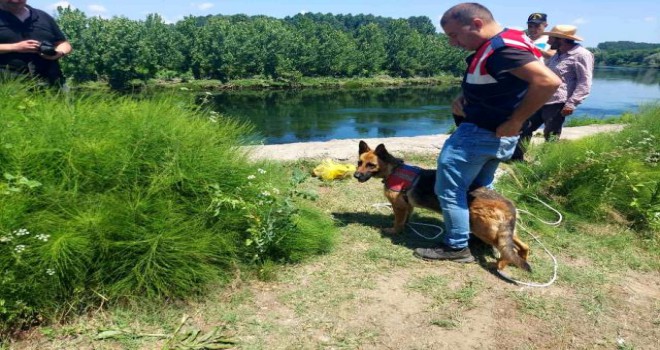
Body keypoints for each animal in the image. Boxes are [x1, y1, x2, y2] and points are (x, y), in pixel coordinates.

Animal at [350, 140, 532, 270]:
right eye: (359, 162)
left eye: (371, 165)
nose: (356, 175)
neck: (393, 169)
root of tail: (507, 203)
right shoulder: (407, 206)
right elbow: (405, 219)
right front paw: (406, 227)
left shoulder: (399, 207)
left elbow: (397, 222)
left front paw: (394, 231)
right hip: (500, 232)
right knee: (522, 246)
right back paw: (521, 259)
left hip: (483, 229)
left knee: (507, 251)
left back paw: (499, 265)